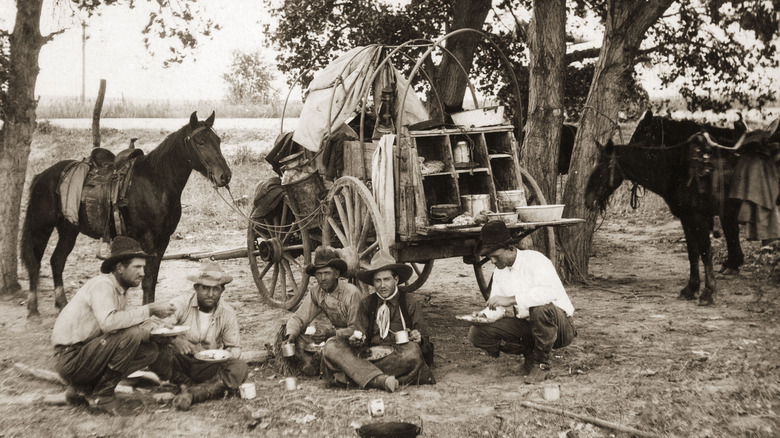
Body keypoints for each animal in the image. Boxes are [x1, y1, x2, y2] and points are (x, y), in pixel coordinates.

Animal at [19, 111, 230, 316]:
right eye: (200, 142)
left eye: (218, 140)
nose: (225, 176)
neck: (156, 182)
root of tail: (42, 175)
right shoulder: (148, 239)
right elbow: (147, 280)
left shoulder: (163, 240)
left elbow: (152, 279)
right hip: (41, 228)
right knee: (35, 263)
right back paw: (33, 309)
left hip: (68, 230)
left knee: (57, 260)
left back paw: (61, 304)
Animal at [580, 135, 740, 306]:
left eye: (604, 168)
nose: (588, 201)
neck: (678, 171)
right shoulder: (686, 219)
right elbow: (693, 253)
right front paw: (690, 289)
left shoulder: (698, 217)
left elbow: (705, 253)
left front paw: (708, 293)